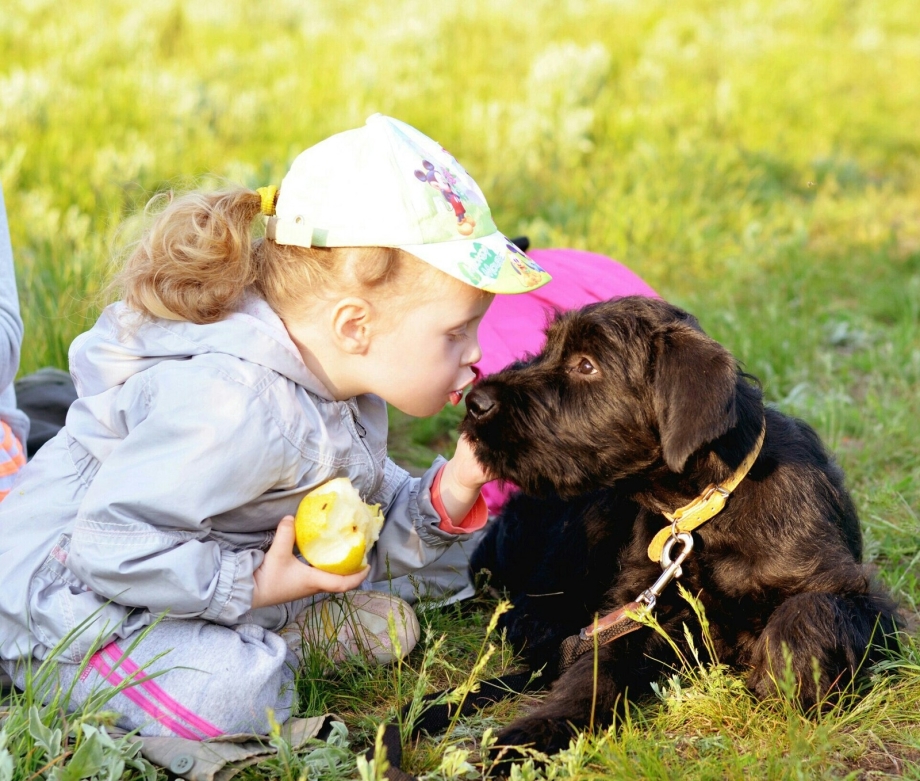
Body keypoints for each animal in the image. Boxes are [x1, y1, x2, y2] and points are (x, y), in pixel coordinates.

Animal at [460, 298, 900, 760]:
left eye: (586, 365)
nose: (474, 401)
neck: (709, 507)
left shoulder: (866, 602)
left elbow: (808, 607)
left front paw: (790, 675)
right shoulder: (638, 612)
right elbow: (593, 671)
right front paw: (536, 732)